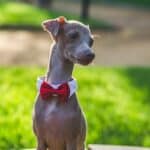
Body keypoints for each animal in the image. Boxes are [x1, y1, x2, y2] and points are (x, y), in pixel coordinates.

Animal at [33, 16, 95, 150]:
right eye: (73, 35)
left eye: (91, 41)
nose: (91, 55)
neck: (56, 89)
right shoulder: (40, 140)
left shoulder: (71, 140)